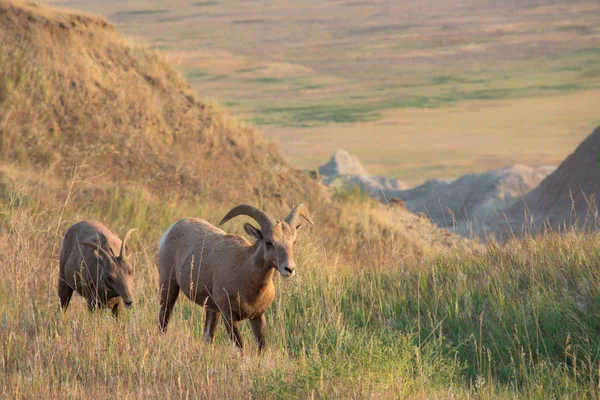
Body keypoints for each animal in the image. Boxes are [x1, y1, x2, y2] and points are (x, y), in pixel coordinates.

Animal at [157, 203, 314, 350]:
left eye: (293, 242)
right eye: (269, 242)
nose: (289, 269)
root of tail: (172, 228)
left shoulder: (257, 317)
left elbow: (262, 347)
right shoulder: (229, 317)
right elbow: (240, 347)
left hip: (212, 310)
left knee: (207, 336)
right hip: (169, 288)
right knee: (162, 323)